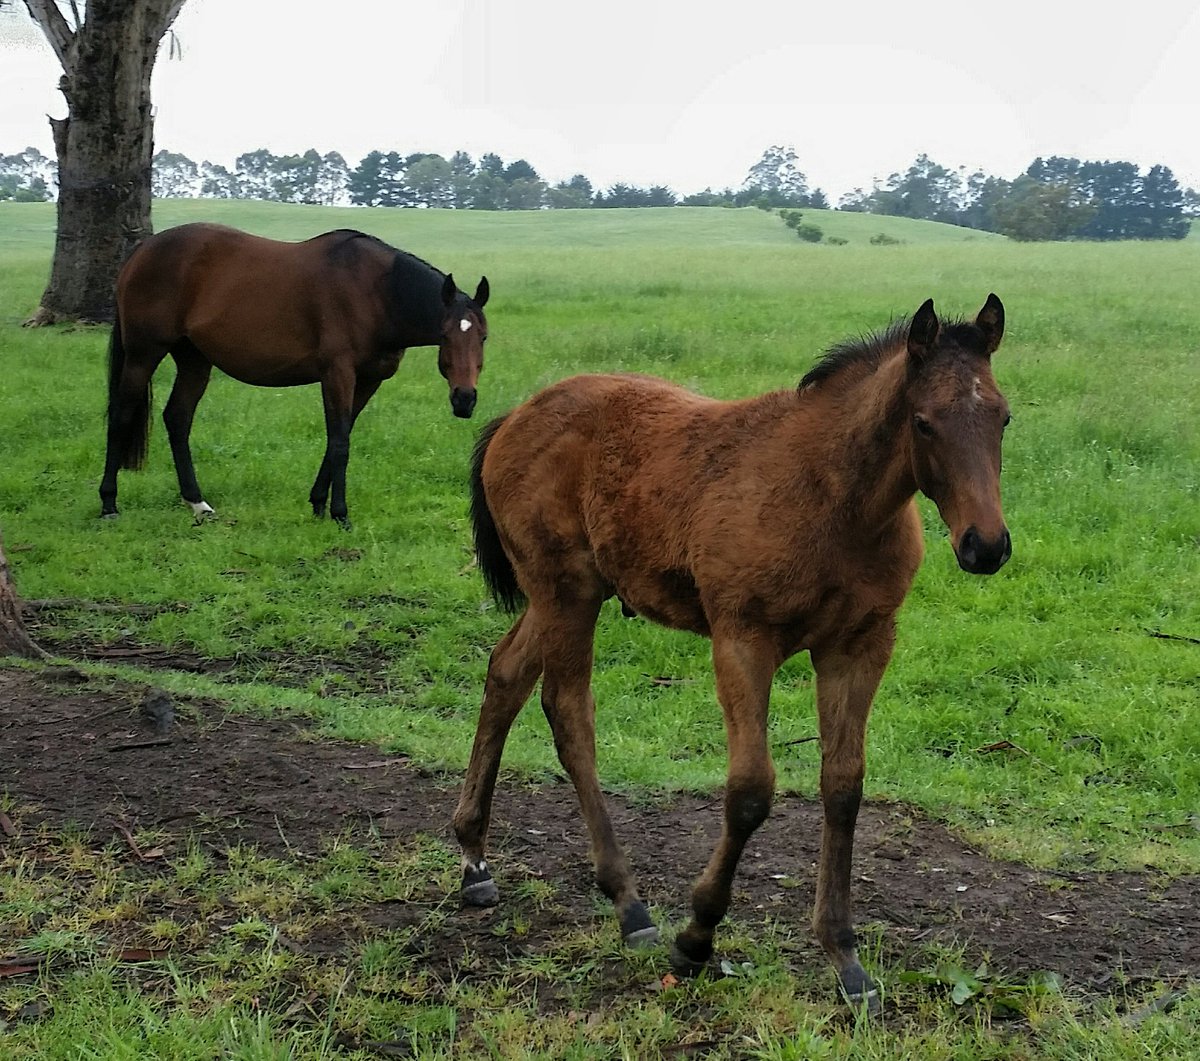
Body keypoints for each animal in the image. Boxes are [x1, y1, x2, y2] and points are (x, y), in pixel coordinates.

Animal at [98, 222, 490, 526]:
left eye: (484, 336)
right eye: (444, 335)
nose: (464, 399)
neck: (377, 292)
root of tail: (143, 250)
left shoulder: (368, 380)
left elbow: (341, 437)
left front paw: (318, 504)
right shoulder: (338, 373)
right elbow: (340, 442)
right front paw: (340, 514)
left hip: (195, 360)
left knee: (177, 419)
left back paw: (198, 504)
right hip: (143, 354)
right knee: (121, 416)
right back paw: (109, 504)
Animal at [452, 294, 1011, 1011]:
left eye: (1003, 416)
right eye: (924, 422)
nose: (985, 546)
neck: (834, 499)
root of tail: (513, 417)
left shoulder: (860, 645)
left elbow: (843, 786)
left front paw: (845, 957)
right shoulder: (743, 639)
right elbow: (750, 791)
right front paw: (696, 937)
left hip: (568, 594)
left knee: (505, 674)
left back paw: (474, 860)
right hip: (565, 592)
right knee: (567, 709)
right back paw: (629, 905)